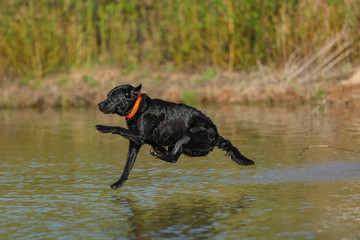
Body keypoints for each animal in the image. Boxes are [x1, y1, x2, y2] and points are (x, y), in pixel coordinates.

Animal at [95, 84, 253, 189]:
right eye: (108, 95)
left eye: (115, 97)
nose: (99, 104)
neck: (139, 108)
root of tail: (216, 133)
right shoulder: (135, 143)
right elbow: (127, 166)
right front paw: (118, 183)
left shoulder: (139, 136)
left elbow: (118, 128)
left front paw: (102, 127)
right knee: (172, 153)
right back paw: (159, 151)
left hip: (187, 136)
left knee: (174, 157)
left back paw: (159, 153)